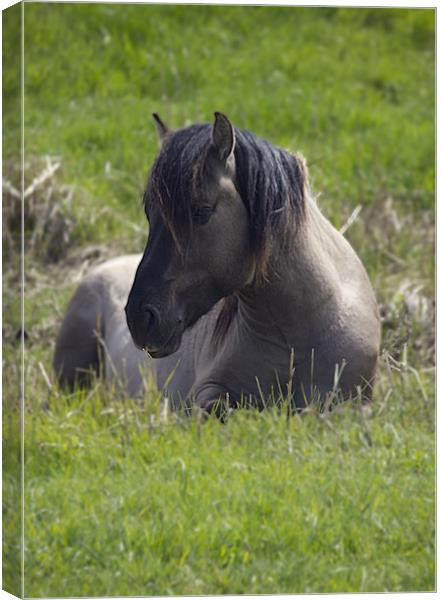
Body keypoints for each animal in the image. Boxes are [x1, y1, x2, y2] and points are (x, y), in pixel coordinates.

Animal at [54, 111, 380, 412]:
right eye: (150, 213)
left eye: (201, 211)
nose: (138, 318)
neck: (295, 338)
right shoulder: (208, 394)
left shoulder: (348, 403)